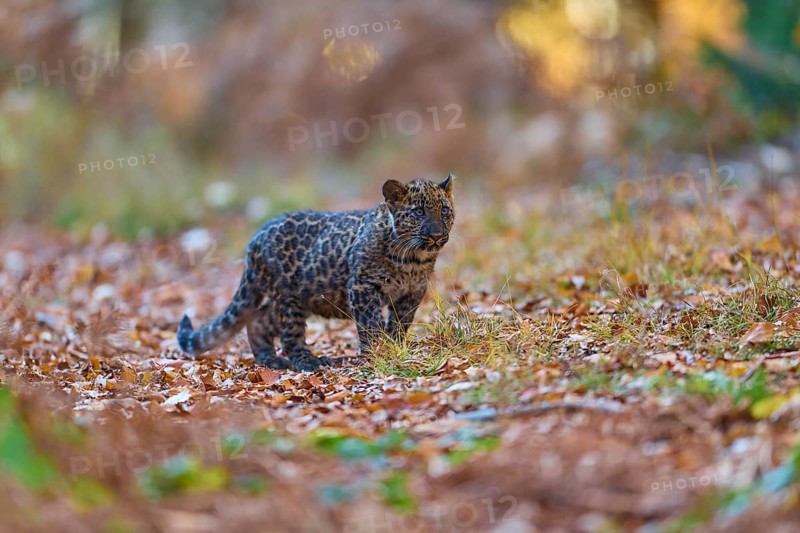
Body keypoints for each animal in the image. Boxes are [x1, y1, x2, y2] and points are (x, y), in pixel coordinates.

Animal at [177, 175, 455, 371]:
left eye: (444, 210)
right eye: (418, 212)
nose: (437, 234)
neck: (412, 259)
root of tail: (254, 240)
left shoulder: (412, 293)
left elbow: (399, 324)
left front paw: (395, 348)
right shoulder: (363, 287)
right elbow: (370, 325)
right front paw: (378, 353)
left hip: (295, 299)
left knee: (258, 320)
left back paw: (270, 360)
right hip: (287, 297)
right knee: (290, 335)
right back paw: (309, 362)